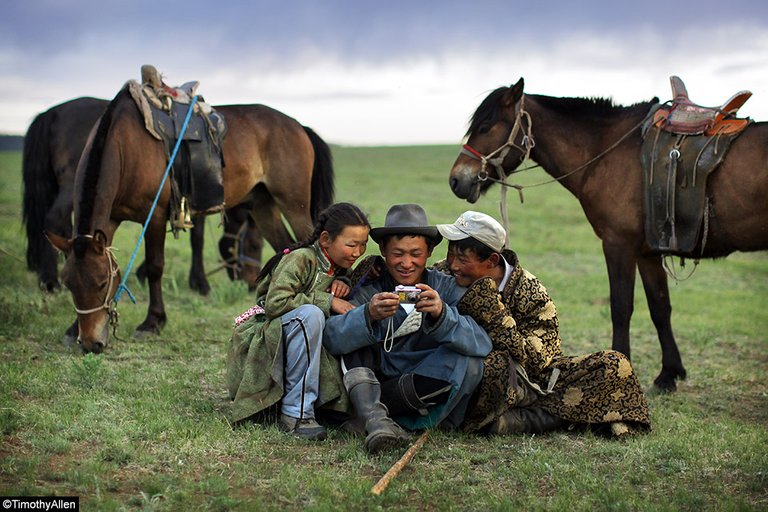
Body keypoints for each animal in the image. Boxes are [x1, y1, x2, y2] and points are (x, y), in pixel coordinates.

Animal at [46, 87, 334, 352]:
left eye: (103, 283)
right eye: (68, 283)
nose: (90, 342)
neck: (125, 145)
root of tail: (298, 126)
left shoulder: (155, 216)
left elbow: (155, 267)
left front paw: (153, 322)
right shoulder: (111, 219)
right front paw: (72, 329)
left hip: (293, 204)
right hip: (262, 206)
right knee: (285, 249)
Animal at [450, 78, 768, 390]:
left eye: (485, 126)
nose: (456, 180)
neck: (605, 151)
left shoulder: (618, 244)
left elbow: (620, 307)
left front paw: (623, 363)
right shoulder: (648, 253)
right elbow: (660, 308)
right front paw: (670, 373)